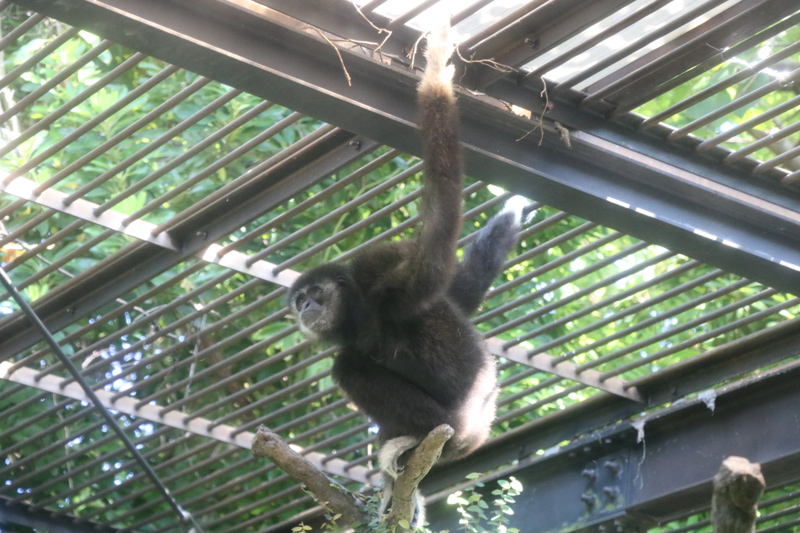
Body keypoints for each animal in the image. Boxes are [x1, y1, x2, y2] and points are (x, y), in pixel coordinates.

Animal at [288, 21, 530, 526]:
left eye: (316, 293)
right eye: (300, 301)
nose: (306, 308)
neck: (361, 312)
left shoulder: (383, 275)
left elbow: (439, 234)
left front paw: (436, 70)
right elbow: (461, 286)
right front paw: (513, 210)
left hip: (457, 426)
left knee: (350, 365)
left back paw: (412, 440)